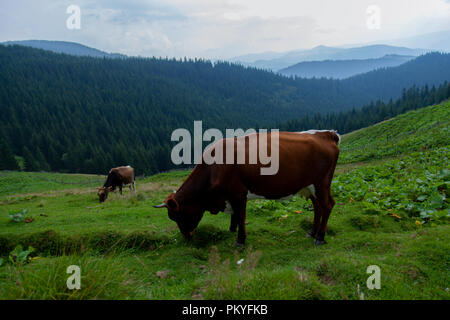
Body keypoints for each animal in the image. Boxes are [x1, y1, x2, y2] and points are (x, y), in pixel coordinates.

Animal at [155, 130, 342, 245]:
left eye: (177, 216)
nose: (187, 237)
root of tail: (325, 134)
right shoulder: (231, 196)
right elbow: (235, 216)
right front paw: (232, 229)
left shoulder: (238, 193)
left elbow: (241, 215)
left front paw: (240, 240)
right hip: (310, 187)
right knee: (318, 207)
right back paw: (312, 232)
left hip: (321, 184)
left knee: (327, 205)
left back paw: (320, 237)